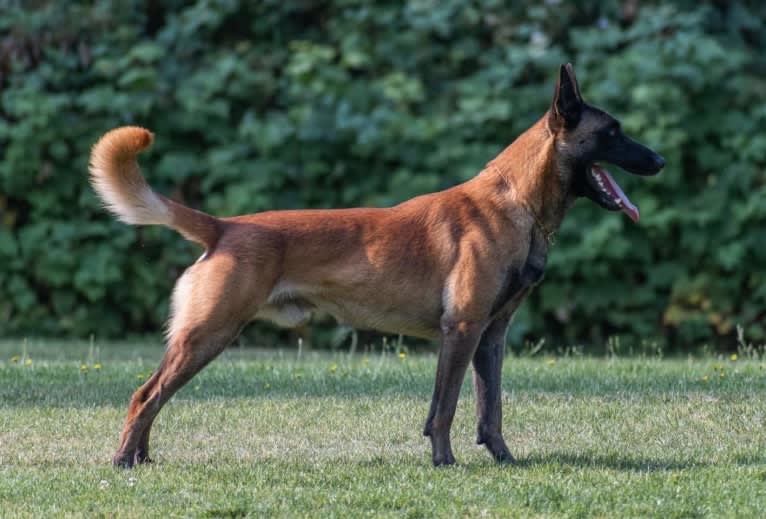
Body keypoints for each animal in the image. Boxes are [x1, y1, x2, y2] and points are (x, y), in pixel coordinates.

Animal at [91, 63, 664, 470]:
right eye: (613, 132)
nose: (659, 161)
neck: (516, 201)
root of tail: (224, 226)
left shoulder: (491, 336)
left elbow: (491, 409)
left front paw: (505, 460)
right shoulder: (461, 331)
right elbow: (444, 408)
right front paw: (444, 463)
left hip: (203, 338)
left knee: (153, 396)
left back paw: (142, 457)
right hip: (209, 334)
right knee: (145, 395)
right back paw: (122, 461)